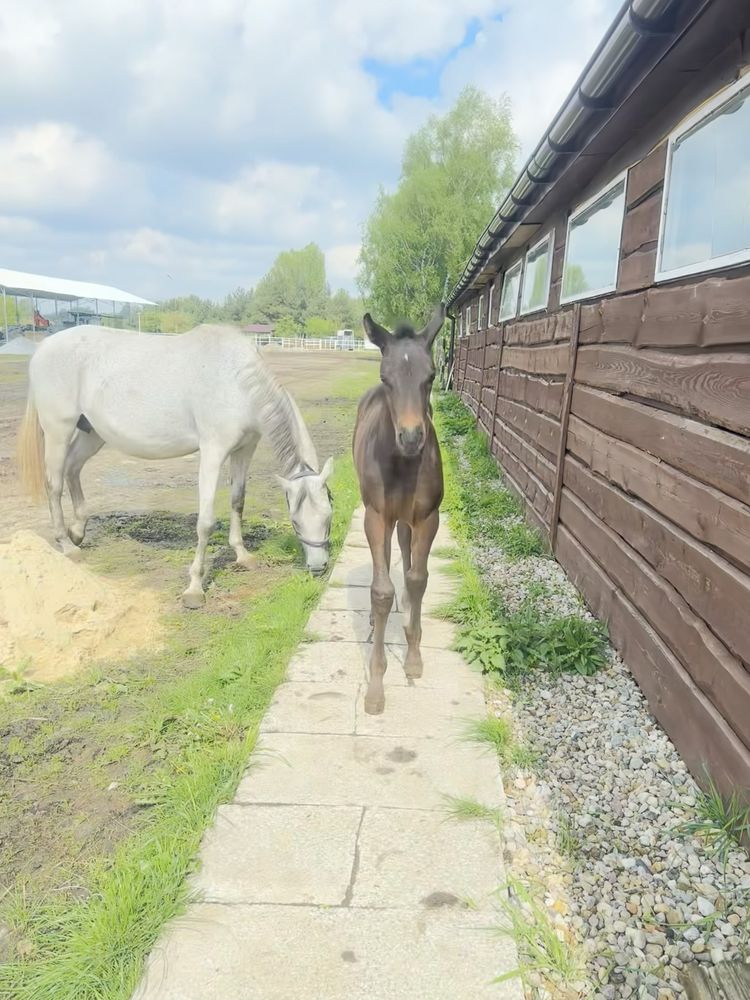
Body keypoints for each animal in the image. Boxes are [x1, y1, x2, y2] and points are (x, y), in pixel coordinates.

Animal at [16, 324, 334, 604]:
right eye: (295, 521)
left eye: (329, 517)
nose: (319, 567)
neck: (236, 381)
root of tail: (44, 346)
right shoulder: (213, 452)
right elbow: (205, 522)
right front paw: (194, 588)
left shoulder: (245, 449)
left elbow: (238, 501)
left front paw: (242, 555)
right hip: (58, 431)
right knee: (54, 483)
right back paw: (67, 545)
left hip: (92, 433)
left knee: (72, 469)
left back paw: (78, 531)